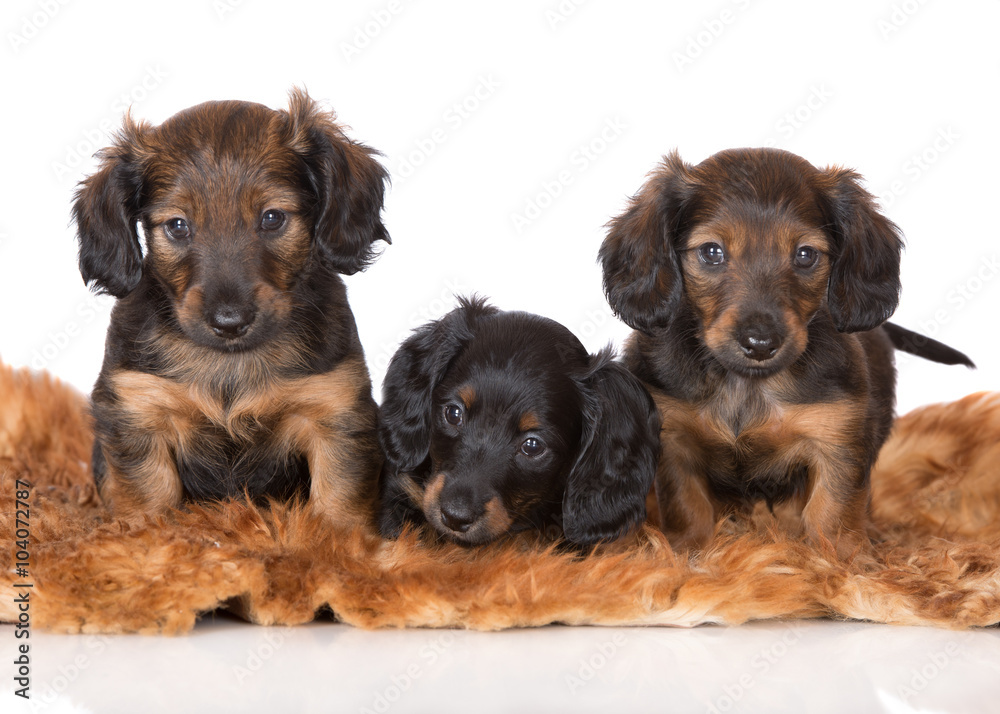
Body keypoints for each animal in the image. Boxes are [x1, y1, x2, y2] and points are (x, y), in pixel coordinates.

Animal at [74, 87, 390, 524]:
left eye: (272, 218)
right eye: (177, 226)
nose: (229, 321)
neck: (230, 363)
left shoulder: (335, 411)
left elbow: (339, 505)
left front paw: (341, 538)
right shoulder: (138, 411)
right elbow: (149, 499)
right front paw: (142, 535)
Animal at [596, 146, 972, 556]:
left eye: (805, 255)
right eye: (711, 252)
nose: (760, 344)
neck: (747, 385)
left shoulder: (837, 440)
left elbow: (831, 513)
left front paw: (838, 561)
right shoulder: (675, 441)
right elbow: (687, 505)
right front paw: (689, 552)